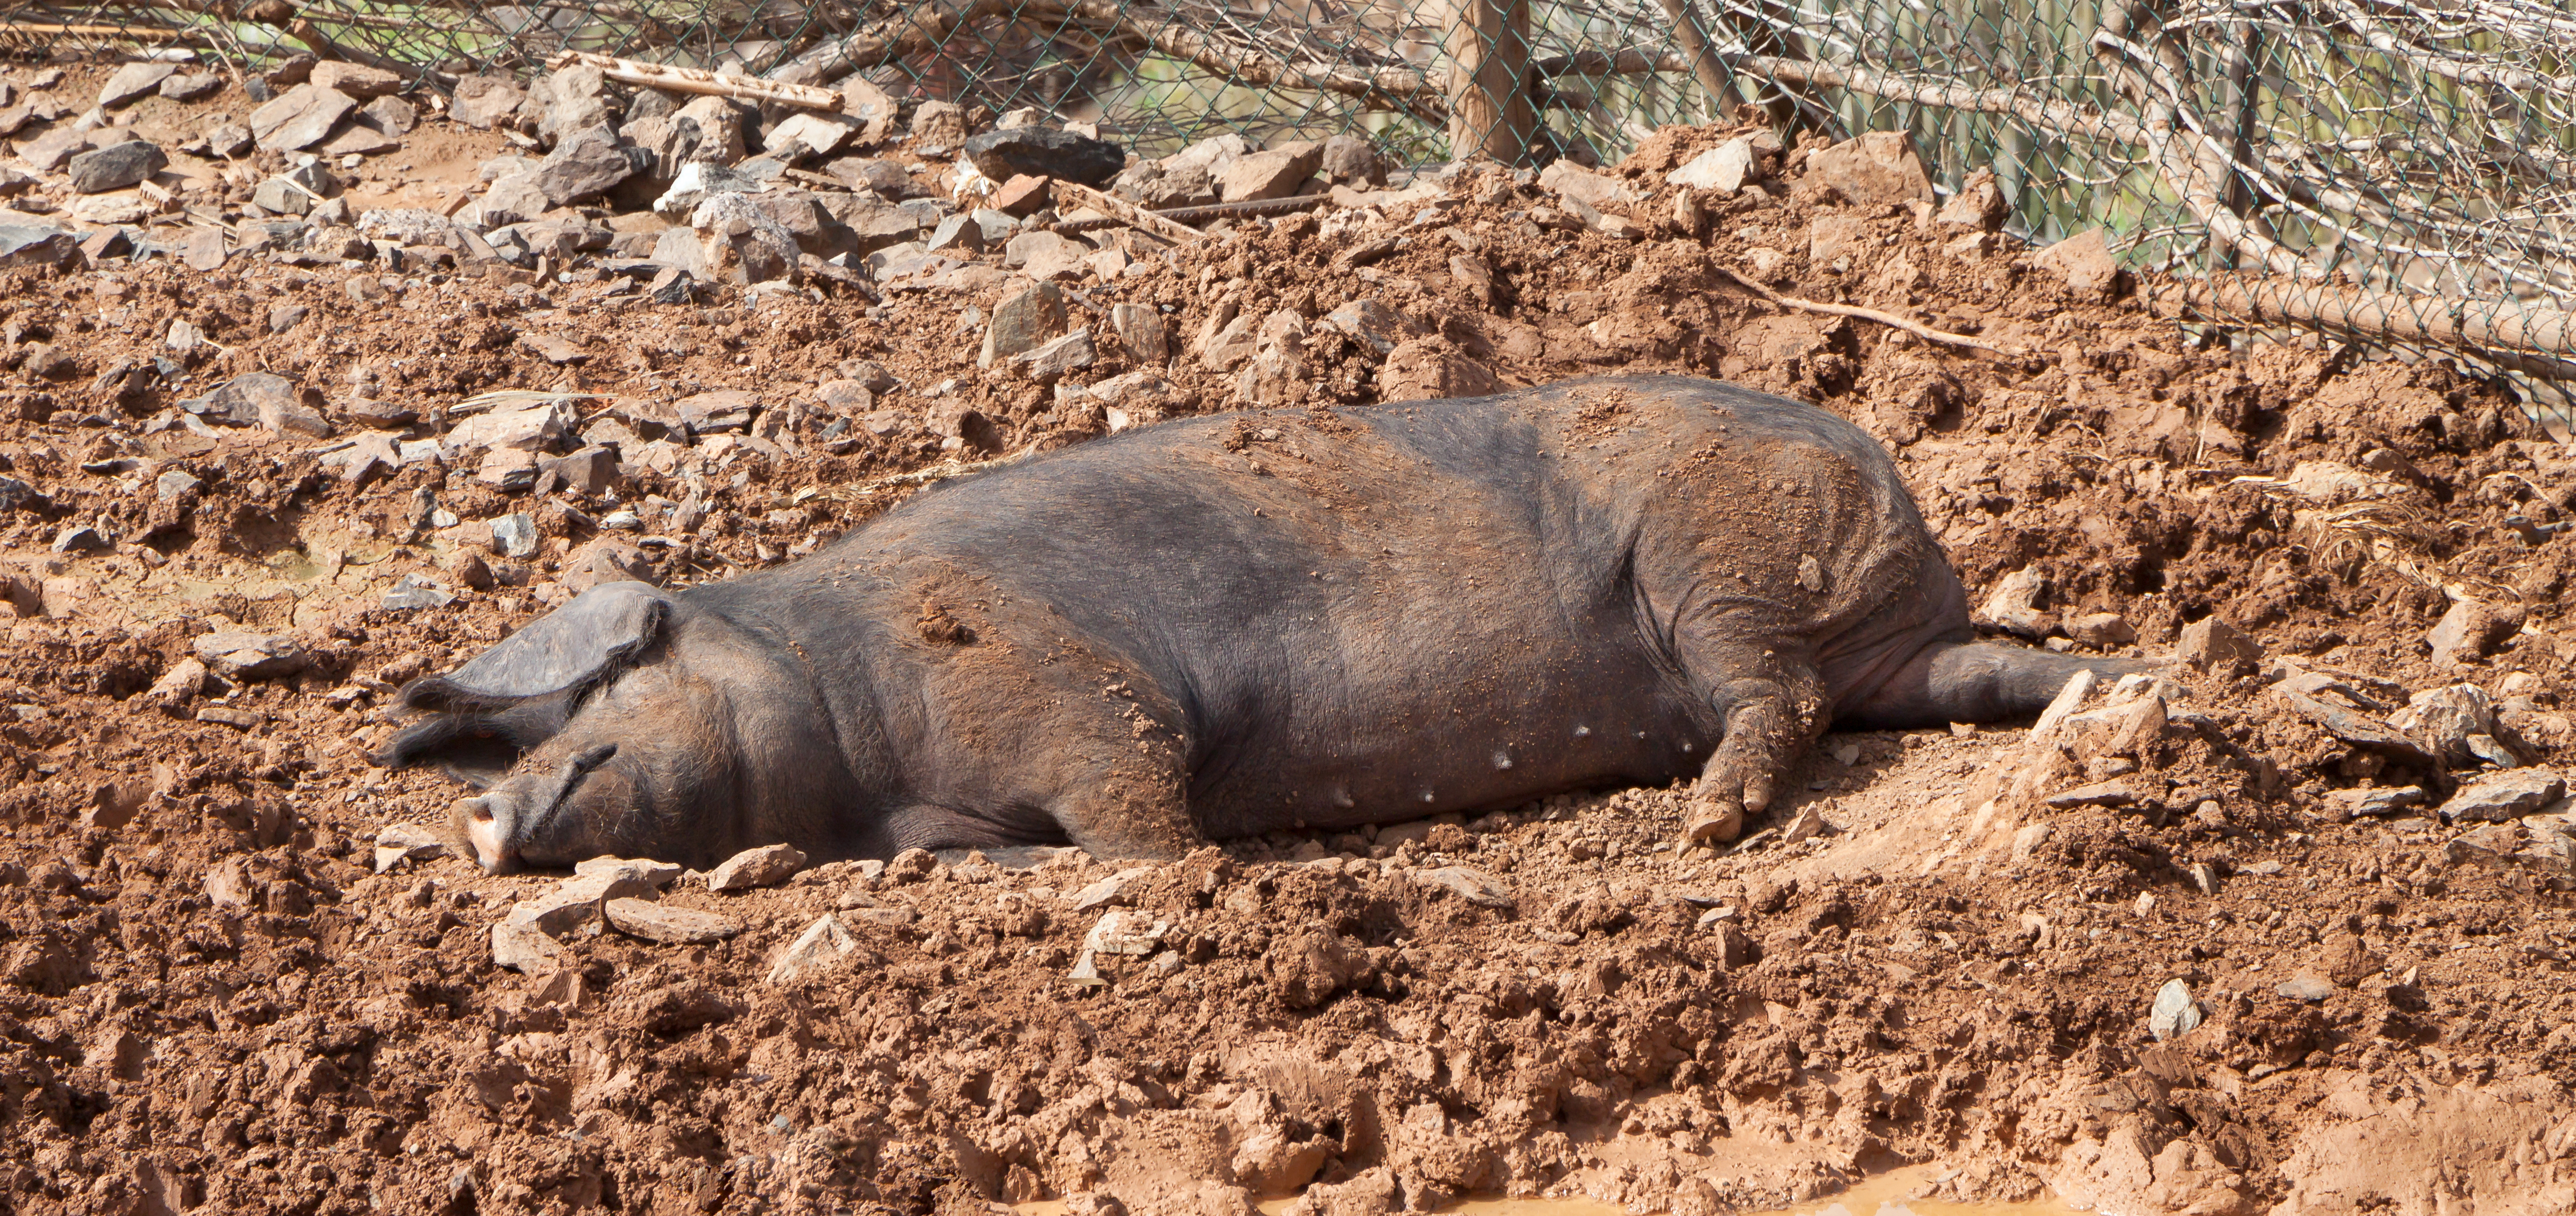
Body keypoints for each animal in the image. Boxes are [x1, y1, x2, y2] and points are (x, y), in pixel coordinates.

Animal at [387, 376, 2142, 872]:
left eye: (602, 687)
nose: (478, 812)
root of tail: (1888, 478)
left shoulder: (1082, 696)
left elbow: (1147, 825)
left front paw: (1205, 874)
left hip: (1717, 562)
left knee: (1770, 698)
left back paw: (1701, 824)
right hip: (1880, 635)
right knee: (1946, 674)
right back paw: (2116, 687)